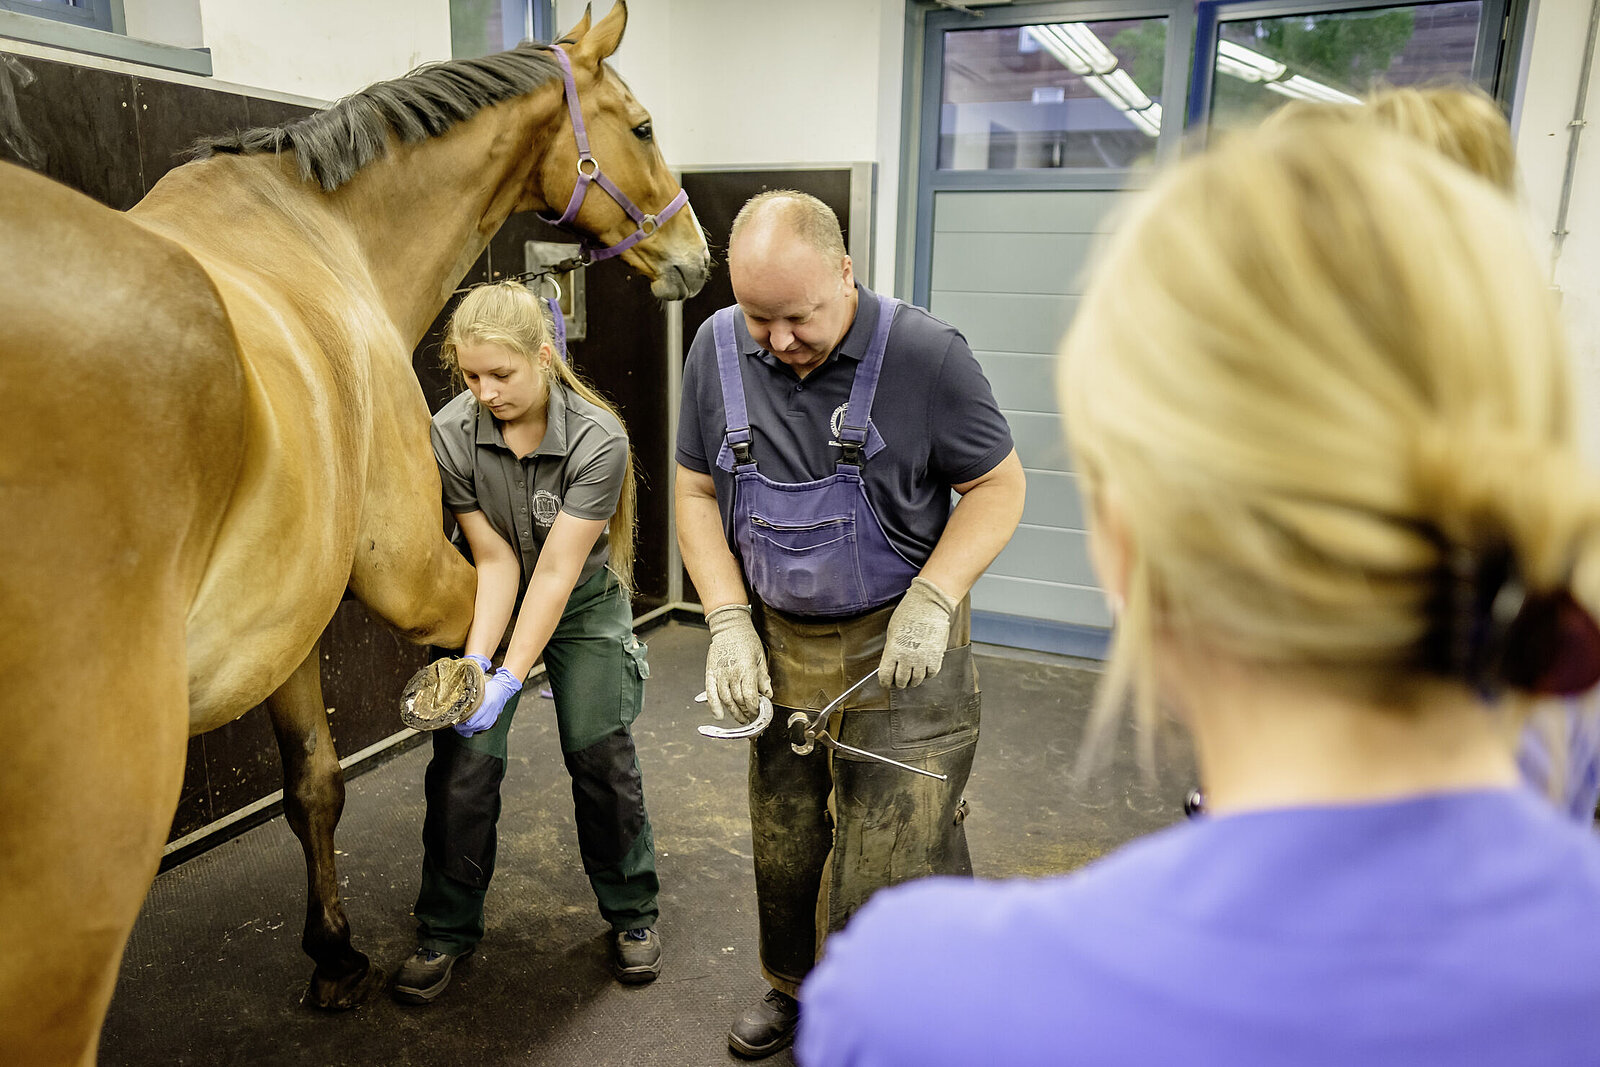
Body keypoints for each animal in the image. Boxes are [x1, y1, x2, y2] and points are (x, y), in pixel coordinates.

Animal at [0, 4, 713, 1062]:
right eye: (646, 126)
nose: (699, 259)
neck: (325, 240)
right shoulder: (416, 573)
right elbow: (489, 660)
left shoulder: (283, 627)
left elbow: (315, 784)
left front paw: (334, 956)